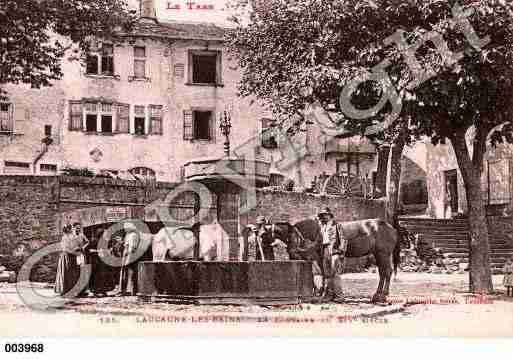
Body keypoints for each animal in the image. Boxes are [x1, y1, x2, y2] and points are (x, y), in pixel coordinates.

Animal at [264, 219, 404, 304]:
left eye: (266, 232)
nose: (290, 251)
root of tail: (392, 228)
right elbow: (323, 274)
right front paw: (322, 293)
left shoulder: (317, 258)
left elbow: (323, 274)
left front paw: (320, 292)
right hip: (378, 255)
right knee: (383, 272)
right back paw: (378, 295)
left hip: (383, 254)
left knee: (387, 272)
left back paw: (383, 295)